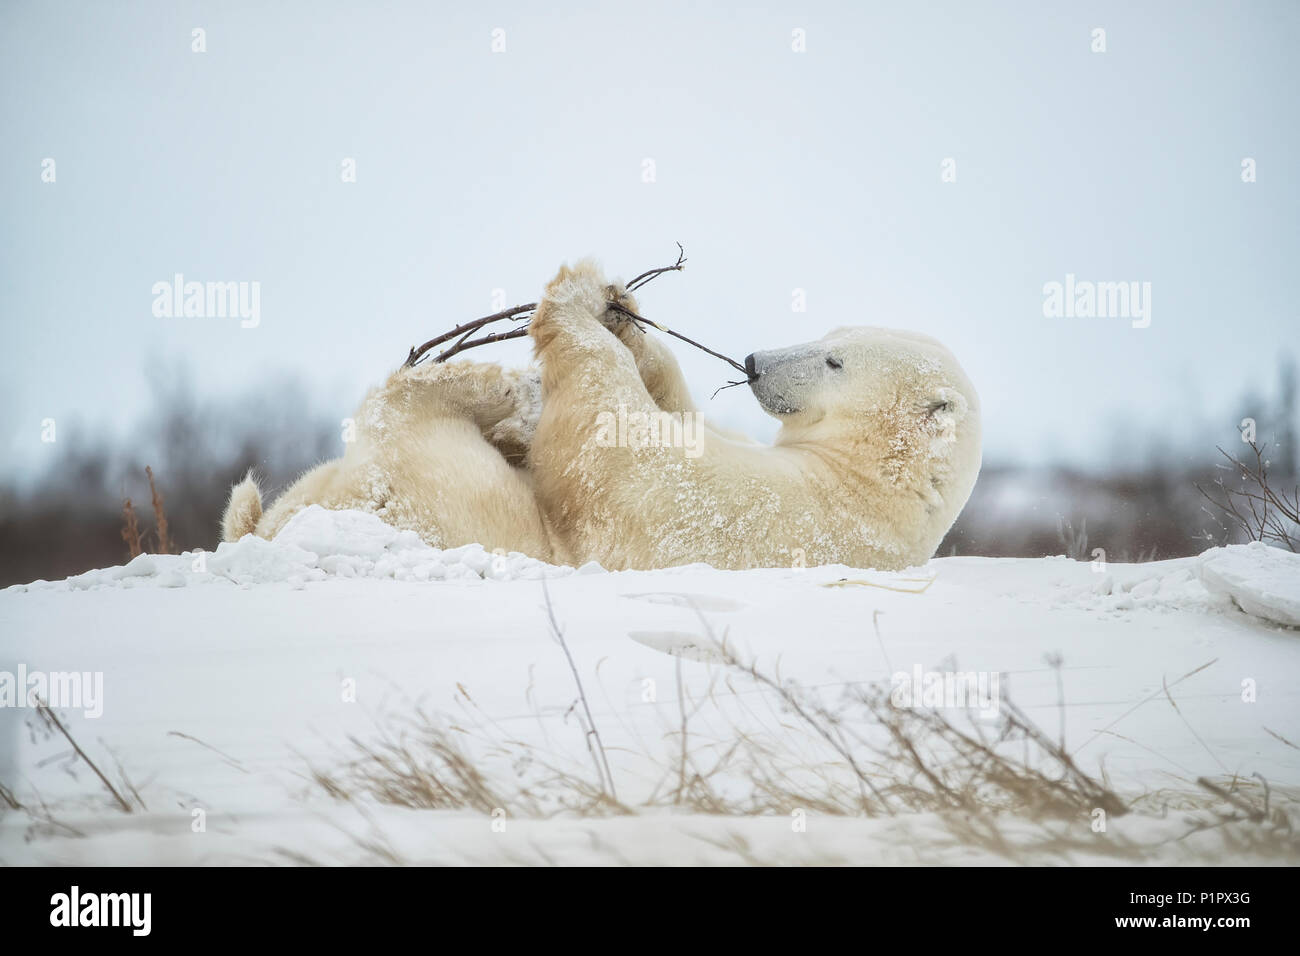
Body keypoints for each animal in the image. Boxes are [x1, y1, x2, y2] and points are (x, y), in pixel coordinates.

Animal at [522, 260, 977, 567]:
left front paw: (577, 291)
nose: (754, 362)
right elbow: (686, 414)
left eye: (834, 362)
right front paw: (623, 313)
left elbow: (625, 457)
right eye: (830, 334)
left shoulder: (788, 516)